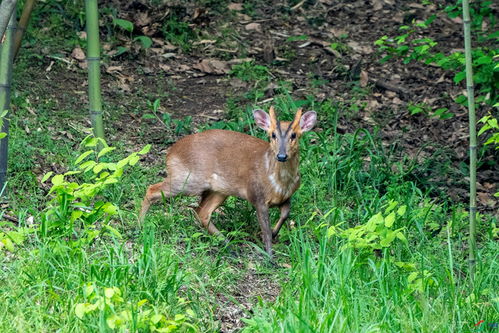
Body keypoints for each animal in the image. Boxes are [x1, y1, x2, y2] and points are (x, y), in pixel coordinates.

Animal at [140, 106, 316, 256]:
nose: (281, 155)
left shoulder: (286, 196)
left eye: (294, 135)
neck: (279, 181)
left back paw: (228, 245)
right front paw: (270, 257)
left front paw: (274, 234)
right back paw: (140, 225)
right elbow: (265, 229)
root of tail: (170, 153)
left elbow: (285, 214)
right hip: (188, 180)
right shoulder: (257, 195)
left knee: (201, 212)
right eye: (273, 135)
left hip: (218, 190)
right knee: (152, 189)